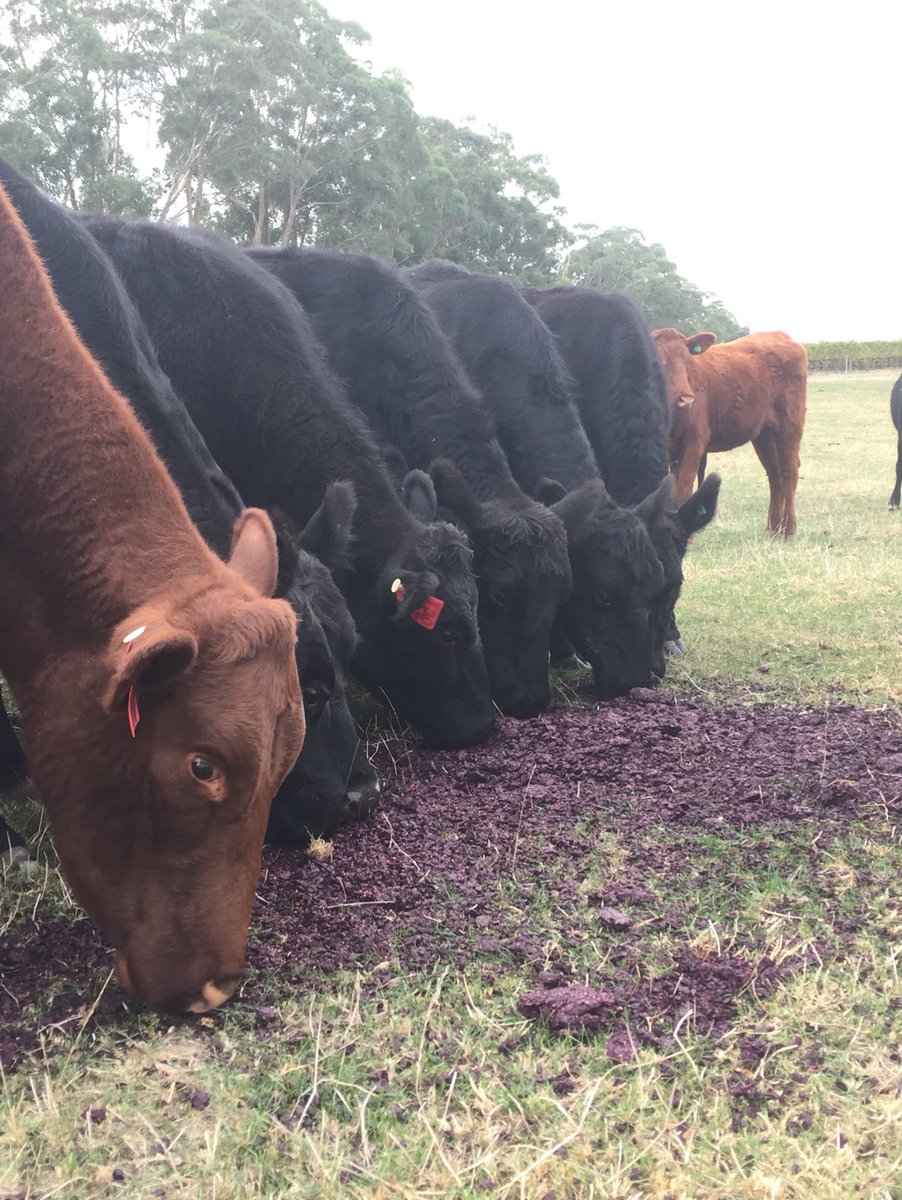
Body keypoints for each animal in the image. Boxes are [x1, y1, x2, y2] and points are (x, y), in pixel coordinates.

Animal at [652, 328, 807, 535]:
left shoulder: (695, 442)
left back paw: (788, 529)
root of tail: (778, 334)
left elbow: (682, 492)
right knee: (775, 474)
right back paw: (772, 530)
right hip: (764, 434)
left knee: (789, 470)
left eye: (687, 361)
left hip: (789, 424)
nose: (686, 399)